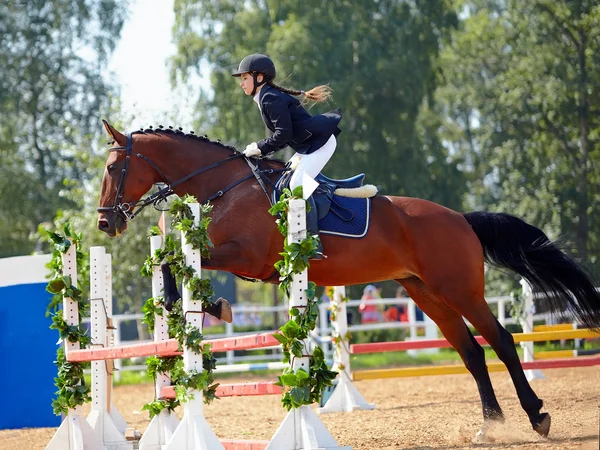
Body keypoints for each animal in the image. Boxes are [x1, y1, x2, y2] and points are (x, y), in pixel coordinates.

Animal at [97, 120, 600, 442]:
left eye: (112, 169)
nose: (106, 224)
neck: (225, 185)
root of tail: (461, 219)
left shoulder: (247, 259)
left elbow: (177, 262)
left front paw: (212, 306)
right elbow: (170, 259)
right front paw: (188, 304)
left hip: (459, 290)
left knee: (501, 342)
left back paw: (536, 416)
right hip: (426, 293)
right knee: (472, 352)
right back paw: (489, 426)